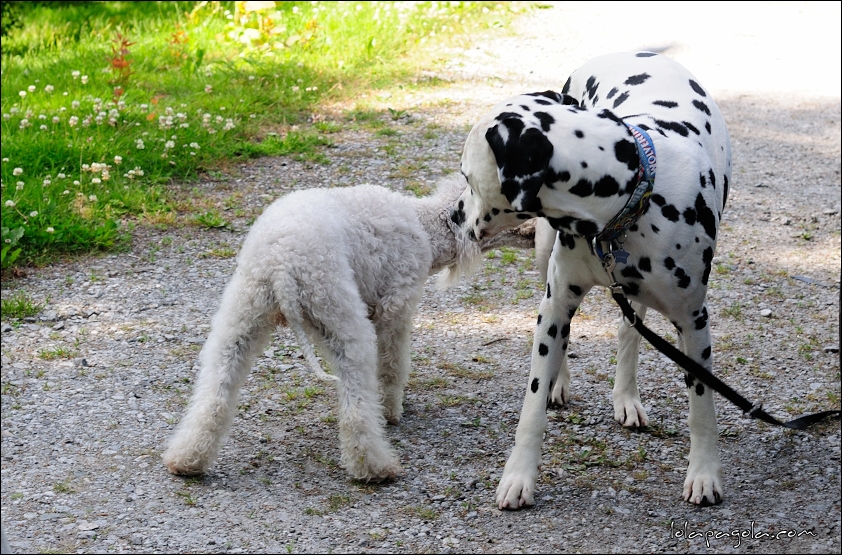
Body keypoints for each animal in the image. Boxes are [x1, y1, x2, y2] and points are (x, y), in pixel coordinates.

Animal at [161, 175, 536, 482]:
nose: (539, 229)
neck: (426, 227)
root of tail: (282, 265)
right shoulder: (395, 310)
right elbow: (393, 367)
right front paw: (391, 411)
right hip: (340, 316)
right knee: (355, 409)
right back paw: (376, 467)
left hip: (241, 317)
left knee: (214, 396)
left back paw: (187, 459)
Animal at [450, 52, 732, 508]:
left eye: (467, 177)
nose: (454, 216)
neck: (625, 205)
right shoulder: (557, 302)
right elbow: (531, 406)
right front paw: (518, 476)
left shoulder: (694, 322)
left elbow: (701, 406)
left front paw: (705, 473)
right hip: (547, 266)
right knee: (560, 340)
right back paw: (559, 382)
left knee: (629, 331)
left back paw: (626, 397)